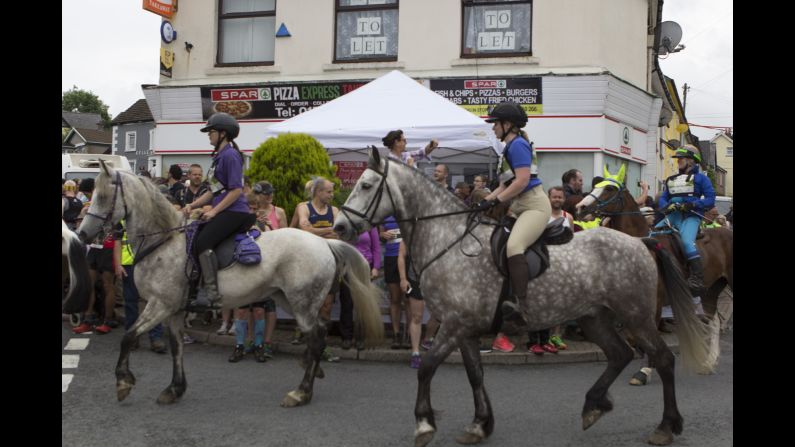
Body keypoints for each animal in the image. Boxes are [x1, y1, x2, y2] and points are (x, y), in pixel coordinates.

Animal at [78, 162, 386, 410]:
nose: (82, 234)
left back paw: (301, 392)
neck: (163, 241)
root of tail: (325, 243)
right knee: (316, 335)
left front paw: (123, 383)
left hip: (302, 302)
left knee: (317, 336)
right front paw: (174, 389)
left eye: (102, 196)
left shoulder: (159, 305)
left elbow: (128, 336)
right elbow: (176, 348)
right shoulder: (174, 310)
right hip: (289, 299)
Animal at [336, 149, 716, 446]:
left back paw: (666, 426)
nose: (339, 227)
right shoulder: (465, 328)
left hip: (637, 315)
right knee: (620, 354)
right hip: (595, 316)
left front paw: (424, 424)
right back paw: (594, 406)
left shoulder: (455, 324)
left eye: (366, 185)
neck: (450, 240)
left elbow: (427, 367)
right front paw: (480, 424)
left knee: (662, 358)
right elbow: (475, 374)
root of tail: (642, 241)